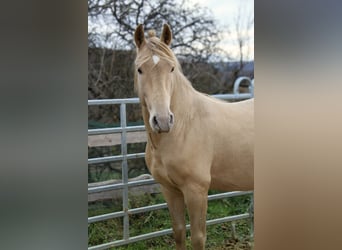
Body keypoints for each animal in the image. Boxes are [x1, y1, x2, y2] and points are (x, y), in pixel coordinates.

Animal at [134, 23, 254, 250]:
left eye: (171, 68)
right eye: (139, 69)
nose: (163, 121)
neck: (183, 128)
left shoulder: (196, 191)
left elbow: (198, 237)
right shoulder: (170, 190)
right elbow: (179, 232)